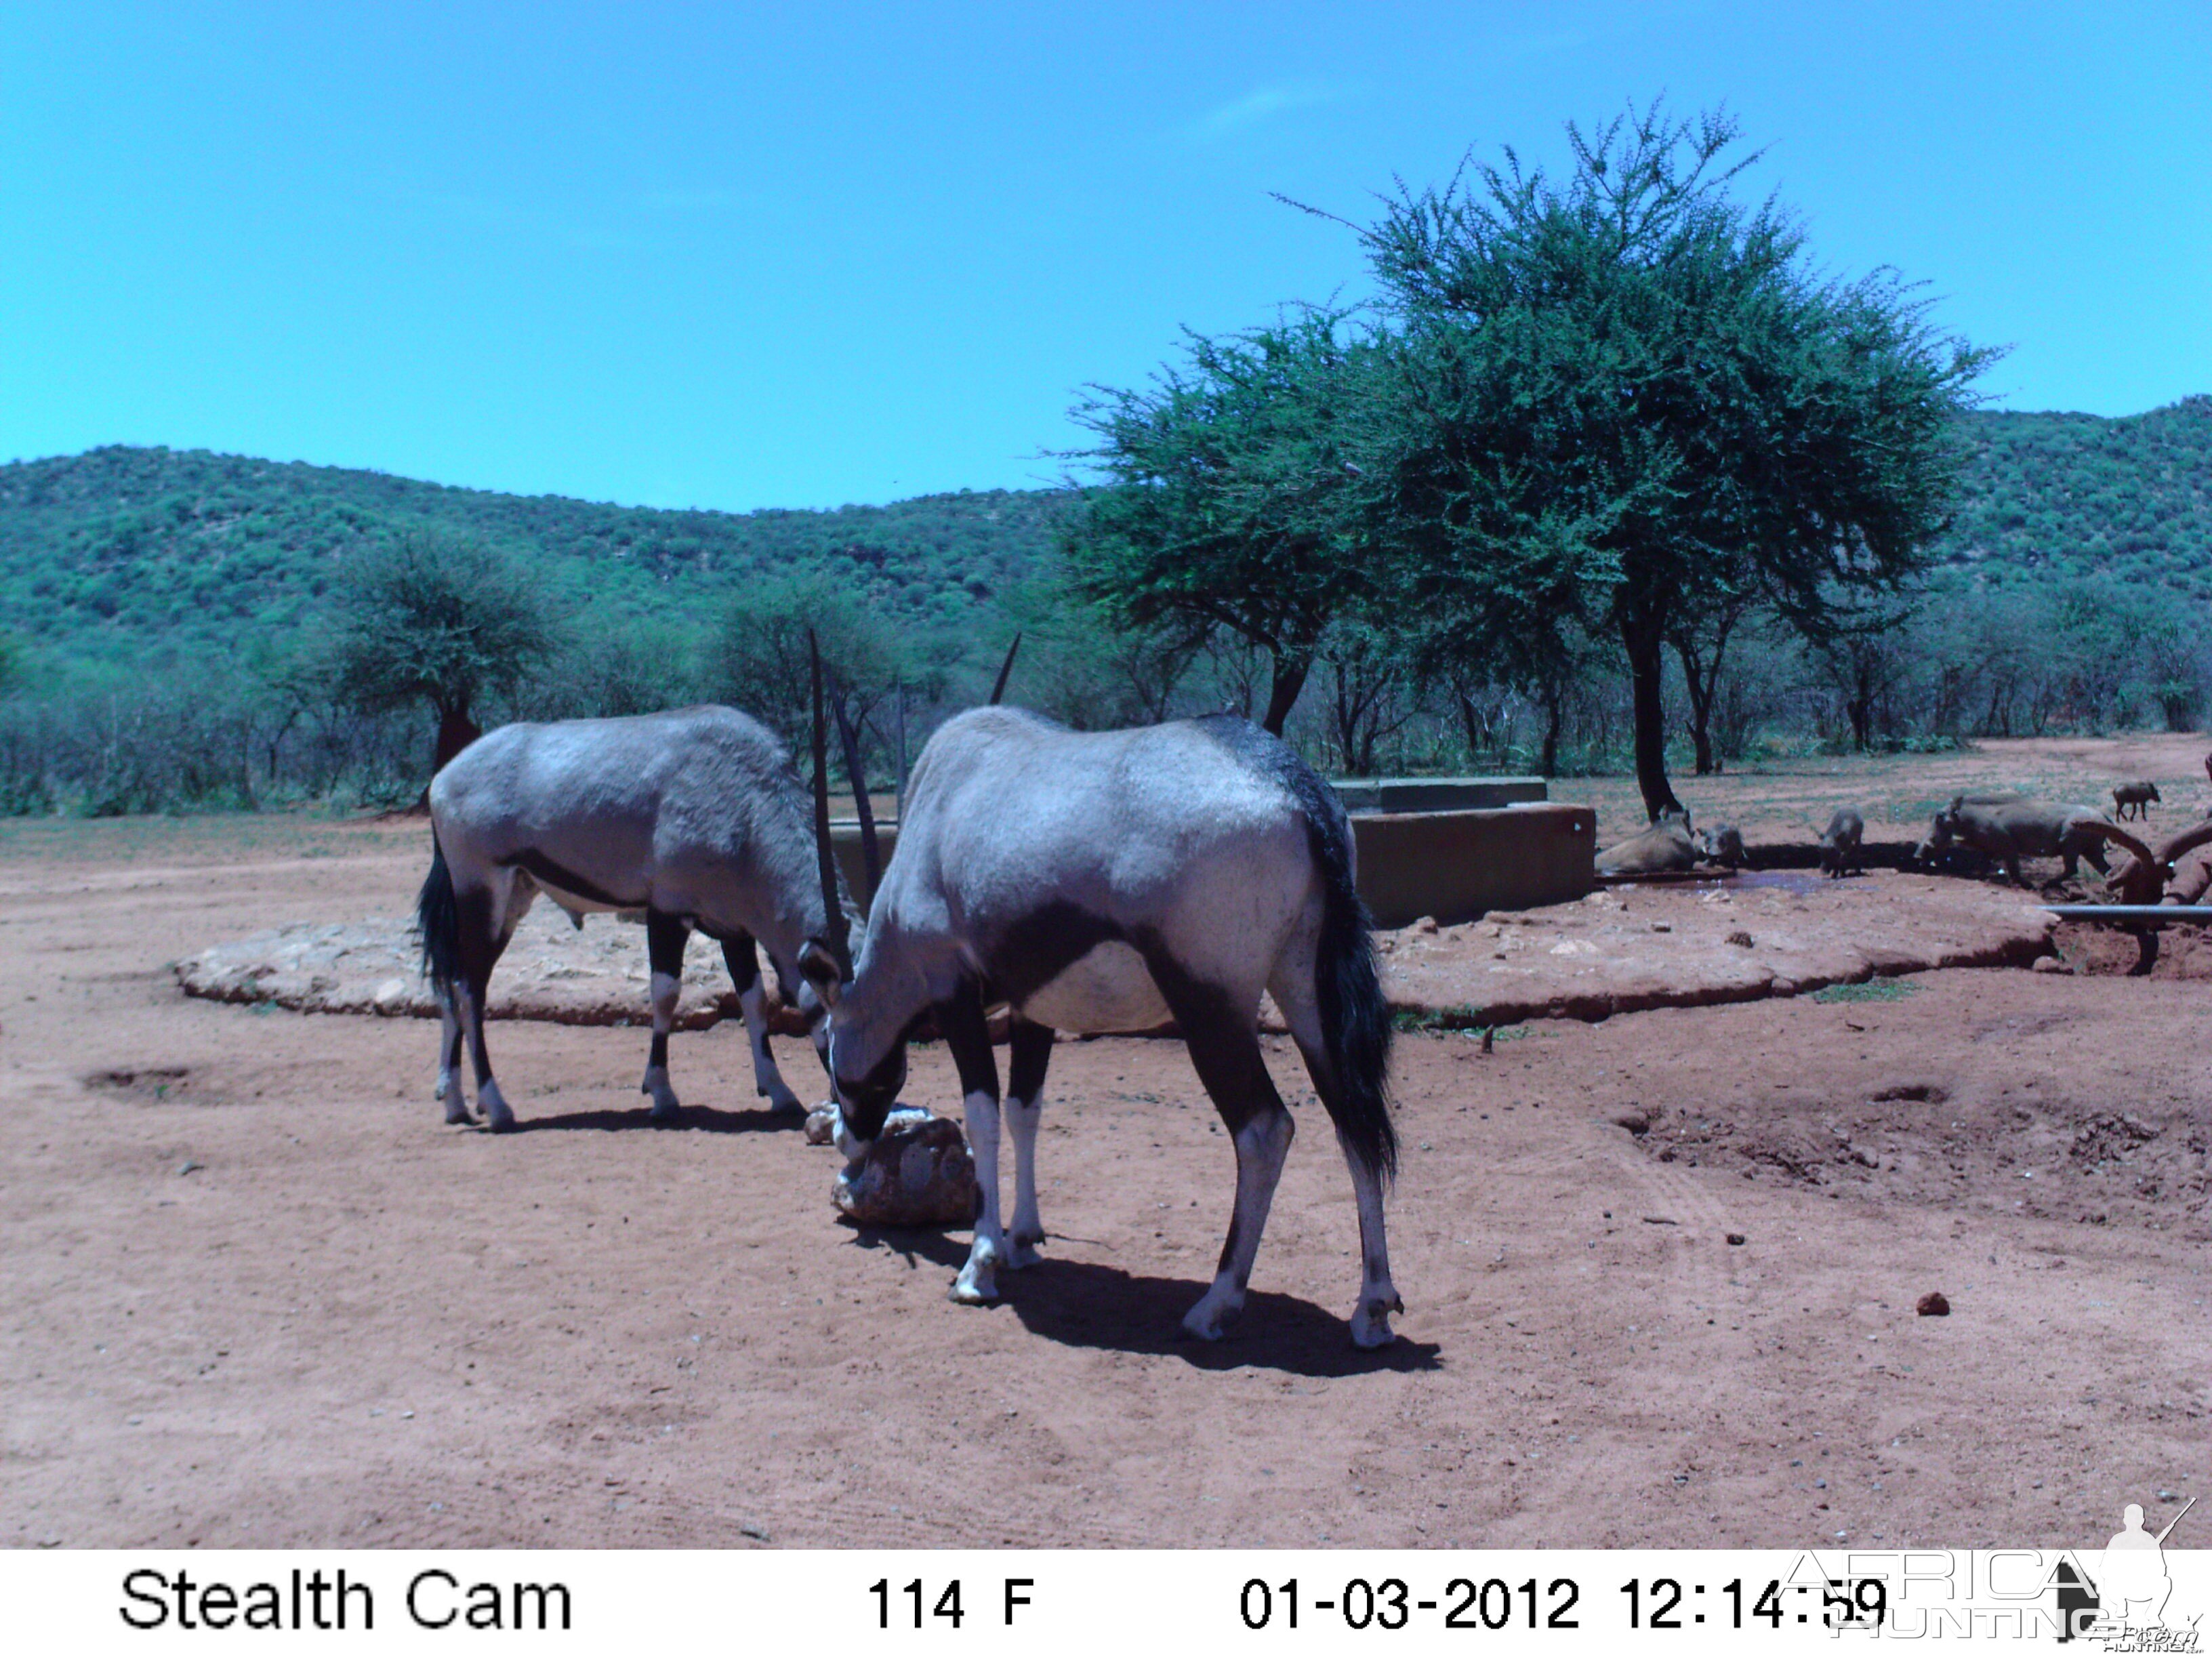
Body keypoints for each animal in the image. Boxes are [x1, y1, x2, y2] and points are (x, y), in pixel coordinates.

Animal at [415, 708, 853, 1141]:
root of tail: (444, 779)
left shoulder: (735, 928)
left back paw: (455, 1103)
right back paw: (496, 1106)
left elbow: (755, 1000)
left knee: (454, 981)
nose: (849, 1104)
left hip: (513, 900)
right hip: (482, 896)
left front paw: (779, 1091)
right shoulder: (668, 911)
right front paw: (662, 1095)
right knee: (470, 990)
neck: (748, 803)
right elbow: (666, 994)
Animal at [805, 699, 1406, 1353]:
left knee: (1266, 1130)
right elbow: (1024, 1111)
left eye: (827, 1049)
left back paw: (1216, 1305)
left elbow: (984, 1115)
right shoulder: (1032, 1007)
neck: (938, 805)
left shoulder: (954, 995)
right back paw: (1372, 1308)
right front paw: (1022, 1240)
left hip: (1210, 1008)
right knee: (1353, 1118)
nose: (847, 1141)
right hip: (1305, 991)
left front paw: (979, 1266)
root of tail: (1295, 791)